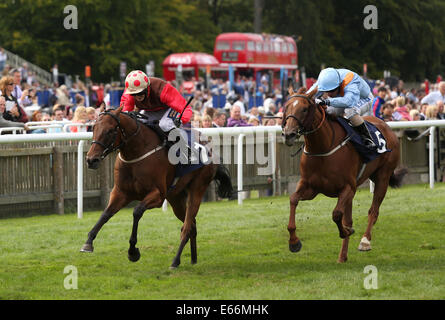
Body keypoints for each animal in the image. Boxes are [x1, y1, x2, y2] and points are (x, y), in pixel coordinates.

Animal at [80, 107, 232, 268]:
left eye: (110, 131)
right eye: (93, 128)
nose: (91, 160)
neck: (137, 152)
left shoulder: (158, 195)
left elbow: (137, 211)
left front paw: (133, 251)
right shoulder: (120, 192)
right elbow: (106, 213)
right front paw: (88, 242)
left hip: (197, 189)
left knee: (187, 226)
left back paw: (175, 260)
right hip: (175, 197)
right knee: (192, 225)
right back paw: (193, 259)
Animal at [280, 86, 406, 262]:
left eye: (304, 109)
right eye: (286, 107)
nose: (288, 134)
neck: (323, 147)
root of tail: (386, 126)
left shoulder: (348, 188)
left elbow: (336, 214)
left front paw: (347, 231)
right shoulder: (310, 188)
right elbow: (293, 200)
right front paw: (294, 242)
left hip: (383, 176)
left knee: (373, 211)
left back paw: (365, 241)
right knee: (351, 217)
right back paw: (342, 256)